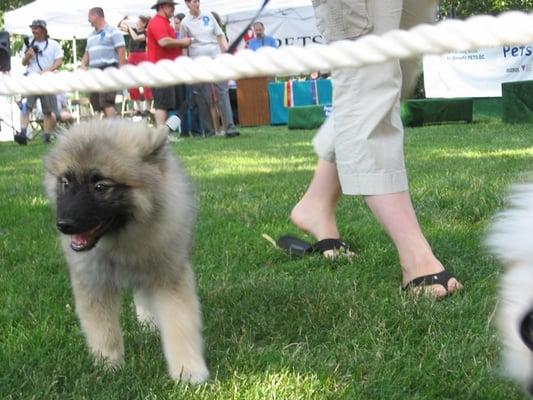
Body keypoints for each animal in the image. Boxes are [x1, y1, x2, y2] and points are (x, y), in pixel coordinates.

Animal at [43, 119, 208, 384]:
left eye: (101, 186)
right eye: (65, 182)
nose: (64, 225)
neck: (119, 239)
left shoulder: (168, 275)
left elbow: (180, 324)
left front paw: (189, 371)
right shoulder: (94, 283)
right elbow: (104, 331)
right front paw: (109, 367)